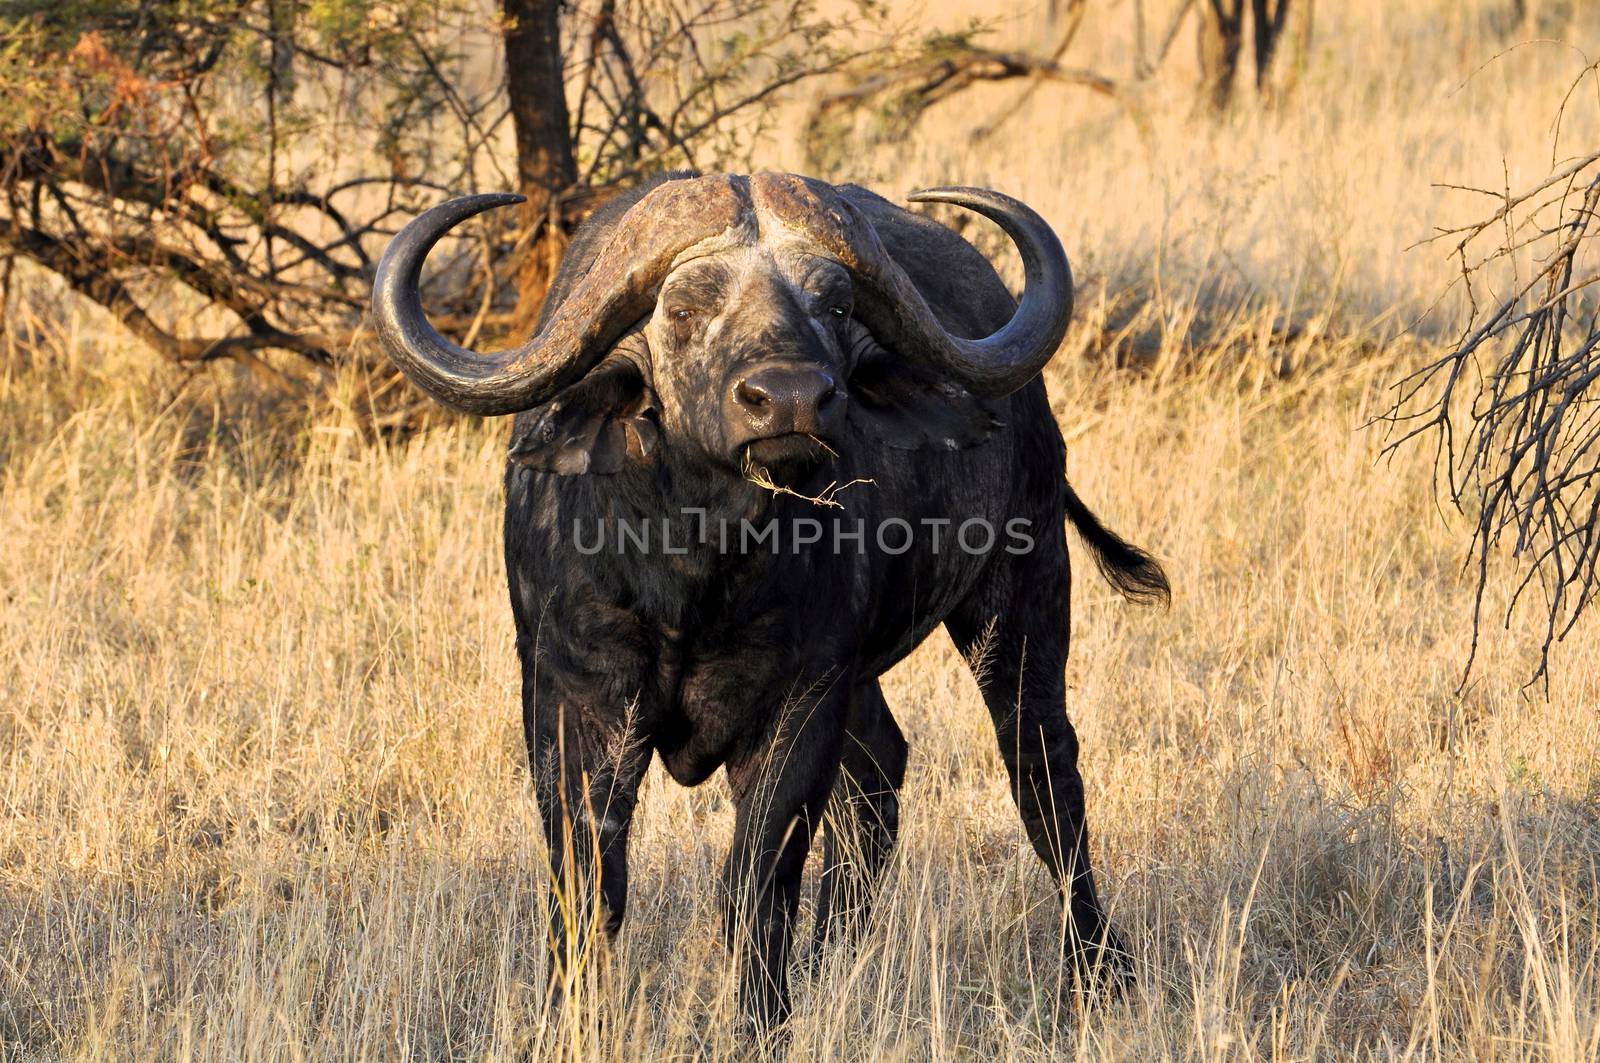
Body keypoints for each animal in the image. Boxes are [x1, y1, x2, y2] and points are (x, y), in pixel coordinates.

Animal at [366, 170, 1164, 1024]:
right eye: (684, 310)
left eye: (837, 306)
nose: (789, 399)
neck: (695, 570)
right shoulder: (570, 698)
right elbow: (588, 882)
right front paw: (570, 1017)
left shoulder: (801, 698)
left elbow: (755, 883)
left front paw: (760, 1019)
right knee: (881, 773)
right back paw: (830, 960)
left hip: (1022, 589)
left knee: (1043, 771)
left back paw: (1097, 969)